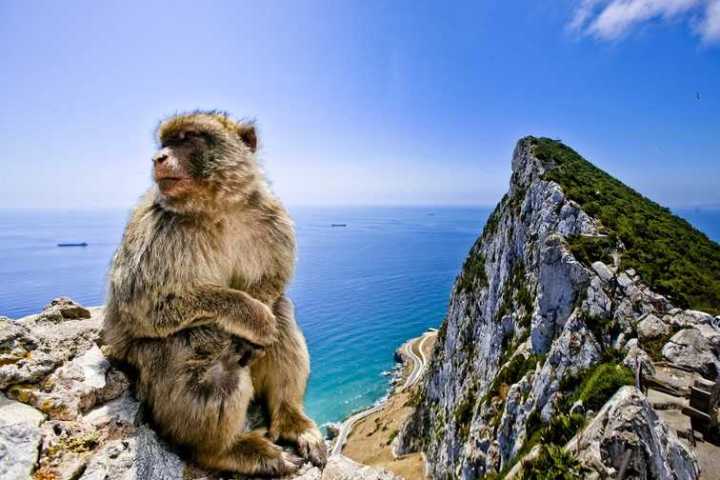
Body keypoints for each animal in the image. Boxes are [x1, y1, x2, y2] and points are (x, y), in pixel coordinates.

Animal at [103, 111, 327, 476]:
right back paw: (224, 450)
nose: (158, 158)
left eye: (187, 139)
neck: (217, 208)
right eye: (166, 142)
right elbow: (144, 305)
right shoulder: (159, 232)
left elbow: (274, 279)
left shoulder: (271, 217)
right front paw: (253, 317)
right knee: (203, 349)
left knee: (281, 313)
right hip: (142, 364)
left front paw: (259, 320)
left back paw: (290, 418)